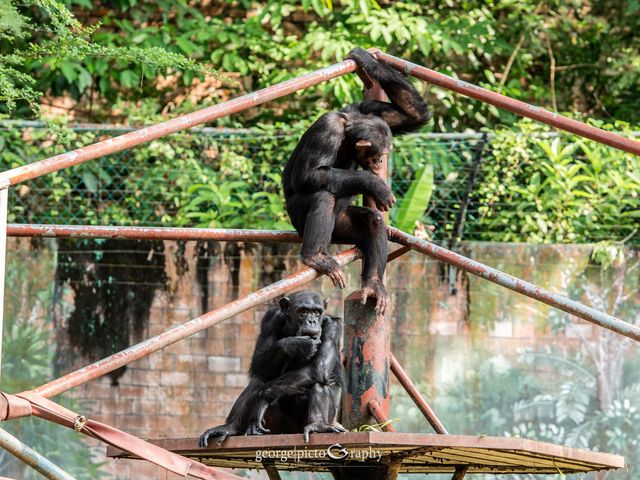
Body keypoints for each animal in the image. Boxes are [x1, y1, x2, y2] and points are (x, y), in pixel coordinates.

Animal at [199, 290, 344, 448]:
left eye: (317, 312)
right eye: (303, 312)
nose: (312, 321)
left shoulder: (333, 328)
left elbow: (319, 367)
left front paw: (263, 397)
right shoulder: (270, 319)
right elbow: (258, 362)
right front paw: (296, 344)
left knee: (317, 380)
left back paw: (318, 426)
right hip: (277, 427)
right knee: (259, 379)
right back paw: (230, 428)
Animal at [282, 47, 428, 314]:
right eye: (378, 154)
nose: (380, 163)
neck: (348, 133)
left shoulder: (368, 109)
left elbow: (413, 115)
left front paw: (366, 58)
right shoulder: (327, 129)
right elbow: (308, 176)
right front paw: (375, 184)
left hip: (341, 228)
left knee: (373, 222)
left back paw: (373, 285)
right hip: (300, 221)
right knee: (323, 196)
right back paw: (315, 256)